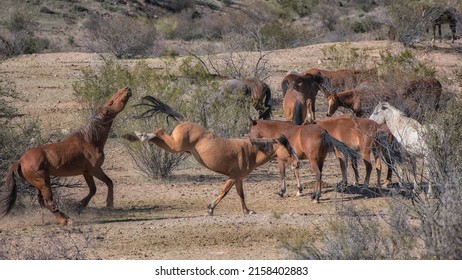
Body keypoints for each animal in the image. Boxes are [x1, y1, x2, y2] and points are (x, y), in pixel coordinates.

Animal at [1, 87, 132, 225]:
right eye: (111, 101)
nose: (127, 89)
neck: (90, 140)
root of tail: (20, 161)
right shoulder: (95, 169)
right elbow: (109, 182)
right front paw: (109, 204)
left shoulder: (86, 172)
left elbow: (93, 189)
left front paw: (79, 206)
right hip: (44, 182)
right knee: (49, 202)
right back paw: (66, 220)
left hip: (37, 184)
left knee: (42, 202)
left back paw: (64, 218)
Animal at [128, 95, 298, 214]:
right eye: (289, 149)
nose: (297, 163)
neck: (250, 151)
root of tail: (185, 121)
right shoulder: (232, 177)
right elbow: (224, 192)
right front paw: (210, 208)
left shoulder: (238, 178)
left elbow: (241, 194)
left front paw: (247, 211)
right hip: (175, 146)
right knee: (160, 131)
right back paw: (143, 135)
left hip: (174, 147)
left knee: (159, 136)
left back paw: (139, 135)